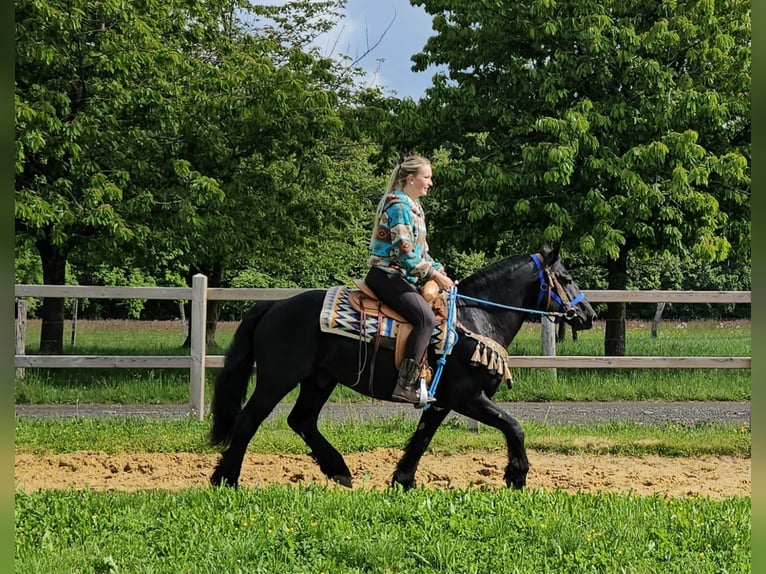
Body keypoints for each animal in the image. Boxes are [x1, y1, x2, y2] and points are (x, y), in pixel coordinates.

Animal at [209, 244, 596, 490]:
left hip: (320, 380)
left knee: (301, 420)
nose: (589, 314)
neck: (476, 318)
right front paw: (517, 475)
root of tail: (272, 307)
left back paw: (339, 469)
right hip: (277, 379)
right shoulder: (468, 397)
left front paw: (403, 480)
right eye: (566, 277)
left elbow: (422, 437)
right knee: (249, 420)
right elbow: (514, 426)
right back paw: (225, 479)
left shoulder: (442, 401)